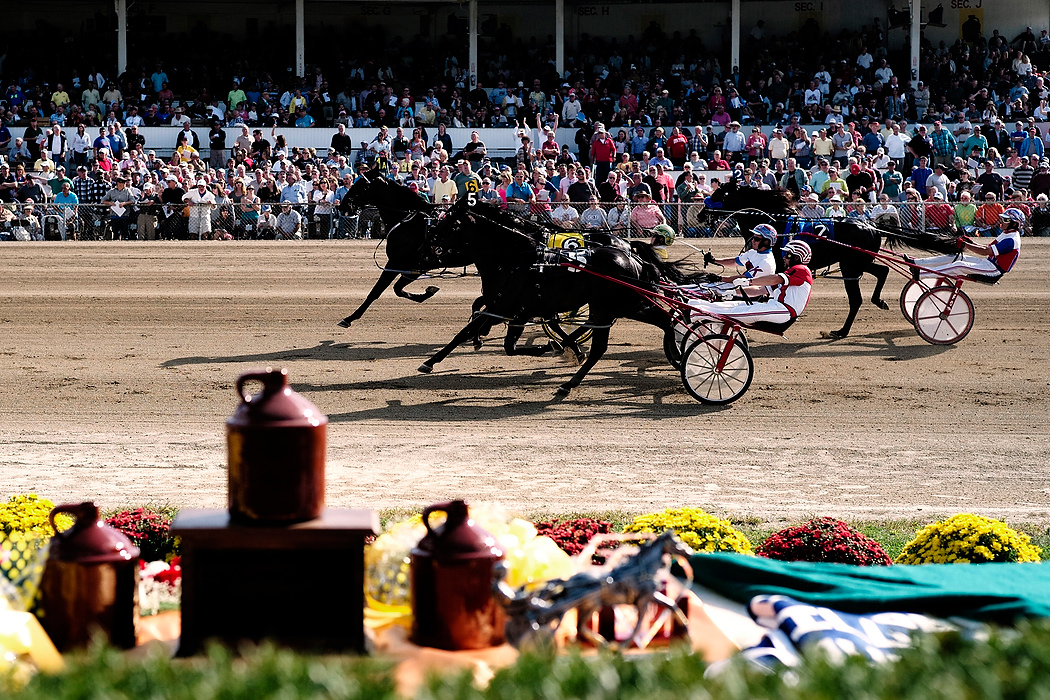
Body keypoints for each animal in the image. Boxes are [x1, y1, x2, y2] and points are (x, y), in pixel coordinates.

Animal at [417, 199, 688, 396]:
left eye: (450, 222)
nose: (425, 243)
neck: (516, 257)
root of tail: (631, 255)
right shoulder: (517, 308)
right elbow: (499, 335)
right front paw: (558, 346)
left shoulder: (506, 305)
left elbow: (469, 330)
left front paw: (432, 360)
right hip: (629, 304)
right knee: (666, 321)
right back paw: (677, 356)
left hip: (608, 306)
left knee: (602, 345)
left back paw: (568, 384)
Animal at [701, 176, 957, 337]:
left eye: (721, 192)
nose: (703, 212)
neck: (777, 224)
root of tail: (870, 224)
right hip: (857, 262)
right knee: (882, 270)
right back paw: (879, 301)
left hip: (851, 265)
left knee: (856, 299)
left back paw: (842, 331)